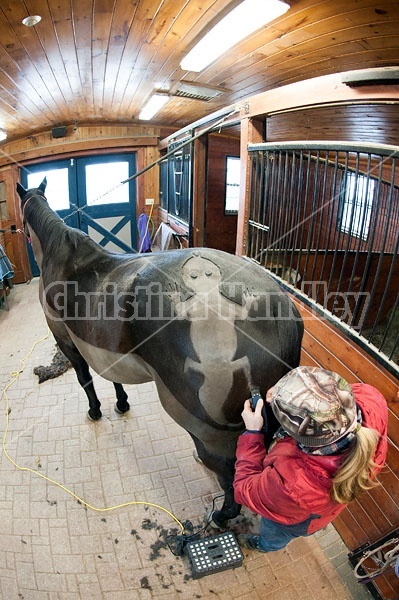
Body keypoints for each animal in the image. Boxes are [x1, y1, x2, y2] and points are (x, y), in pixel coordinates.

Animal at [15, 178, 304, 524]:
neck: (64, 256)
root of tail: (282, 310)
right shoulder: (104, 350)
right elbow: (113, 377)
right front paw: (122, 404)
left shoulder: (66, 342)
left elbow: (86, 380)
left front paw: (96, 410)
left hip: (208, 427)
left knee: (229, 472)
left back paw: (221, 516)